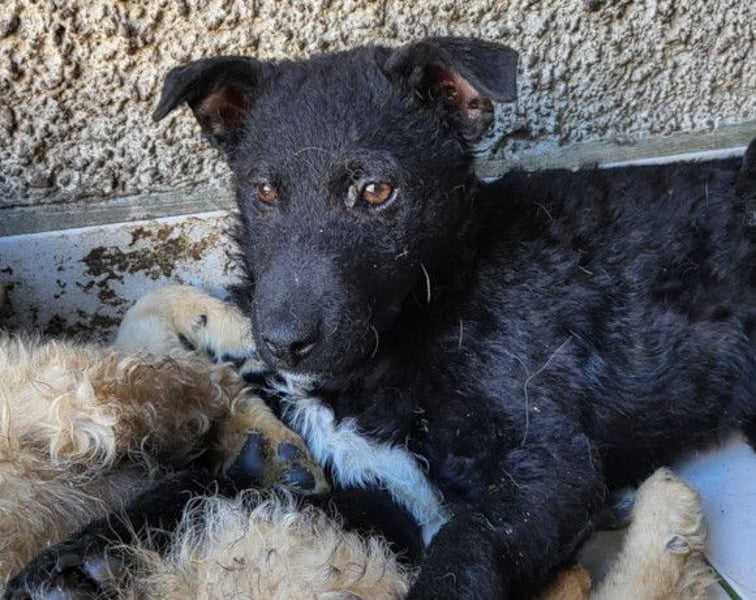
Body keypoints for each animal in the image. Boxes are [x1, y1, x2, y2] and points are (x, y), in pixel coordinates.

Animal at [6, 36, 755, 599]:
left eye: (376, 191)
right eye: (264, 191)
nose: (283, 343)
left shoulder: (547, 462)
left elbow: (465, 548)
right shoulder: (360, 488)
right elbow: (196, 479)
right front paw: (71, 559)